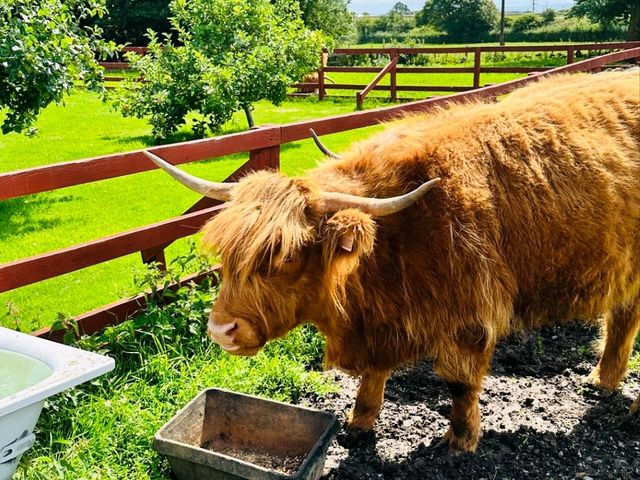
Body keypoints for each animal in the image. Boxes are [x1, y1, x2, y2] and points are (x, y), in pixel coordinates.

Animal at [145, 69, 640, 452]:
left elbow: (460, 383)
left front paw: (459, 441)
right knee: (623, 318)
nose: (219, 330)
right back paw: (603, 380)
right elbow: (374, 372)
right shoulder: (382, 318)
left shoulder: (469, 316)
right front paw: (359, 423)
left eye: (284, 256)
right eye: (227, 253)